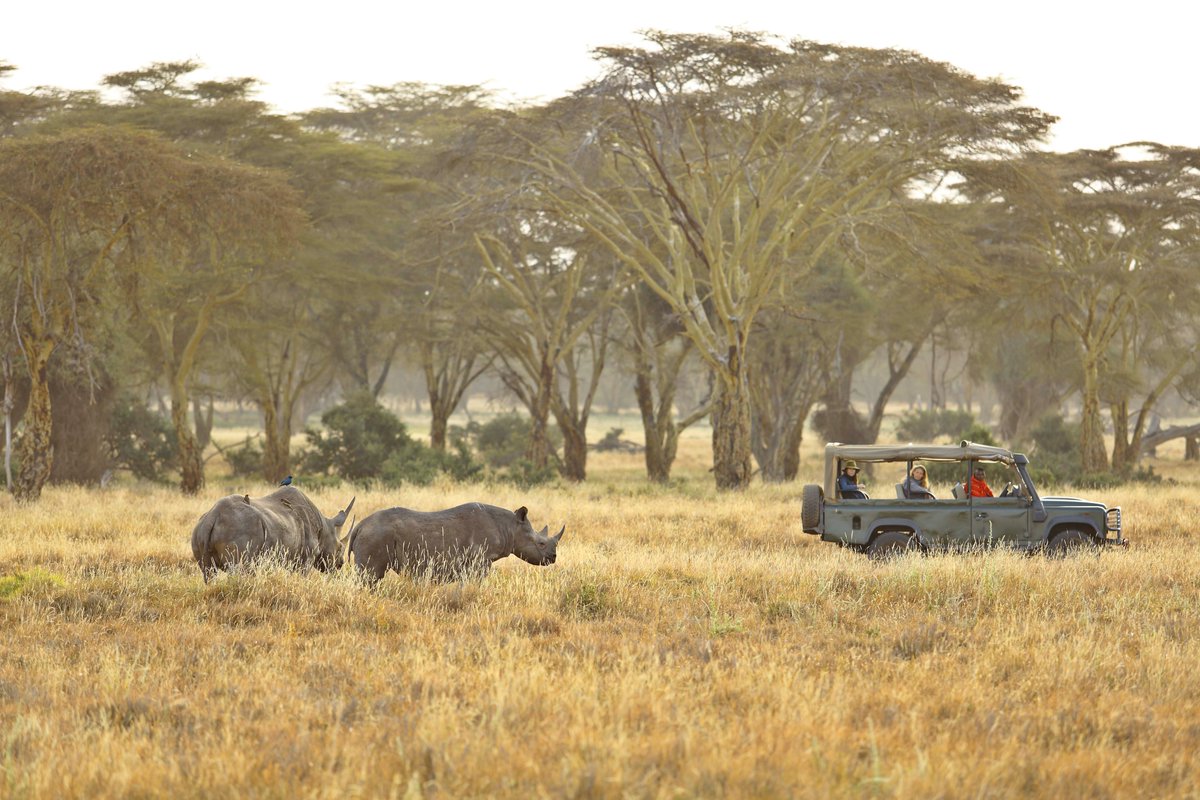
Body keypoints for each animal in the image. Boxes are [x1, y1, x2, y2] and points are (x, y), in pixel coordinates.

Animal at [191, 486, 356, 582]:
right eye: (340, 547)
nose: (340, 564)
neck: (324, 529)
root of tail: (213, 515)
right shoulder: (307, 558)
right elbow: (303, 577)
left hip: (199, 530)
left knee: (208, 573)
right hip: (240, 527)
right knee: (241, 570)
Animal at [347, 503, 564, 585]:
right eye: (541, 543)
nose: (553, 558)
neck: (510, 526)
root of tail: (359, 526)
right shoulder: (481, 560)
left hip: (373, 533)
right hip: (375, 534)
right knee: (370, 577)